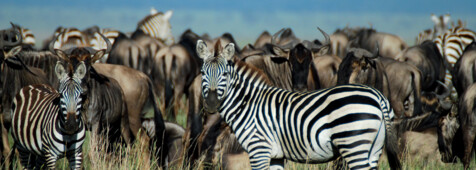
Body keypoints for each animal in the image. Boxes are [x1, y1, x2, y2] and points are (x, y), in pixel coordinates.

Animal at [197, 40, 402, 170]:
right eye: (202, 72)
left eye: (225, 74)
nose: (211, 103)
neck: (248, 104)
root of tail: (378, 96)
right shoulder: (276, 156)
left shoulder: (259, 150)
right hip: (374, 149)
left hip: (354, 145)